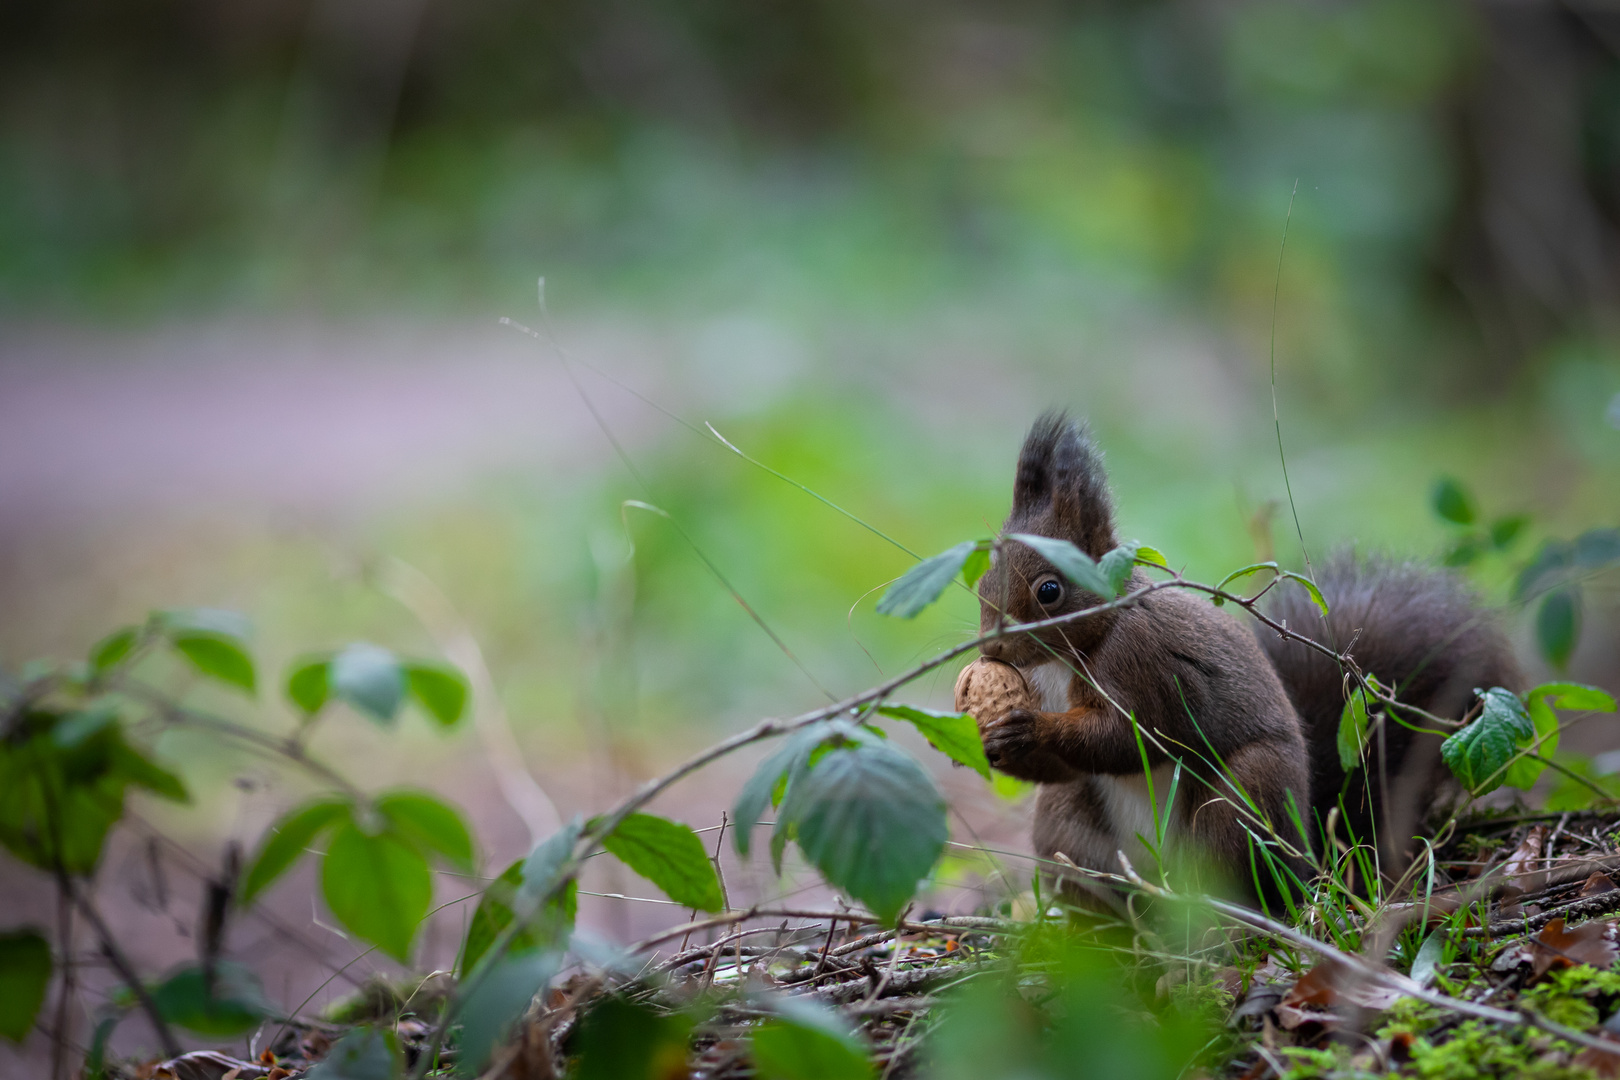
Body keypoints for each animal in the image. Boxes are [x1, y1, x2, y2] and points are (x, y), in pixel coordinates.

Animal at [959, 414, 1516, 906]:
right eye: (983, 581)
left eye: (1049, 591)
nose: (991, 649)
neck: (1069, 654)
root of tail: (1308, 857)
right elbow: (1067, 765)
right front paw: (992, 742)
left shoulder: (1145, 664)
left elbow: (1128, 737)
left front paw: (1031, 727)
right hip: (1070, 826)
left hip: (1243, 798)